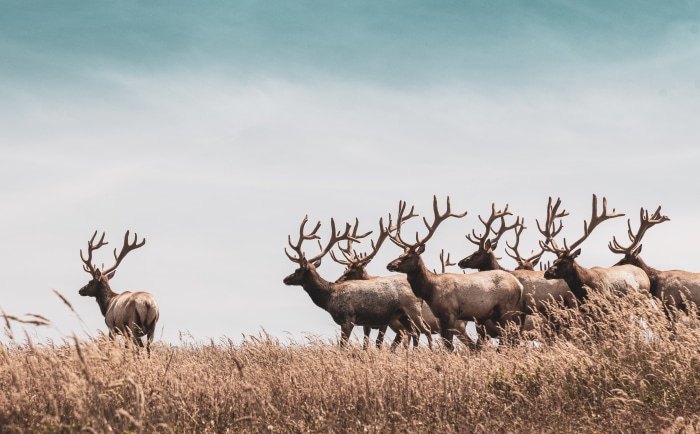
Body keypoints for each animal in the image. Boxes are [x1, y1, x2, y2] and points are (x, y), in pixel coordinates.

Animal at [283, 215, 431, 349]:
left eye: (297, 270)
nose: (285, 279)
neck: (329, 297)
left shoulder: (348, 318)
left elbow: (343, 346)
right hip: (402, 315)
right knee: (415, 332)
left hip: (412, 308)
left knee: (425, 330)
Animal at [386, 196, 525, 351]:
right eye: (400, 254)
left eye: (408, 257)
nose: (390, 265)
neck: (431, 290)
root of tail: (519, 286)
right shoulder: (441, 316)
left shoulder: (450, 313)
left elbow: (448, 345)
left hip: (507, 309)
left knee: (510, 336)